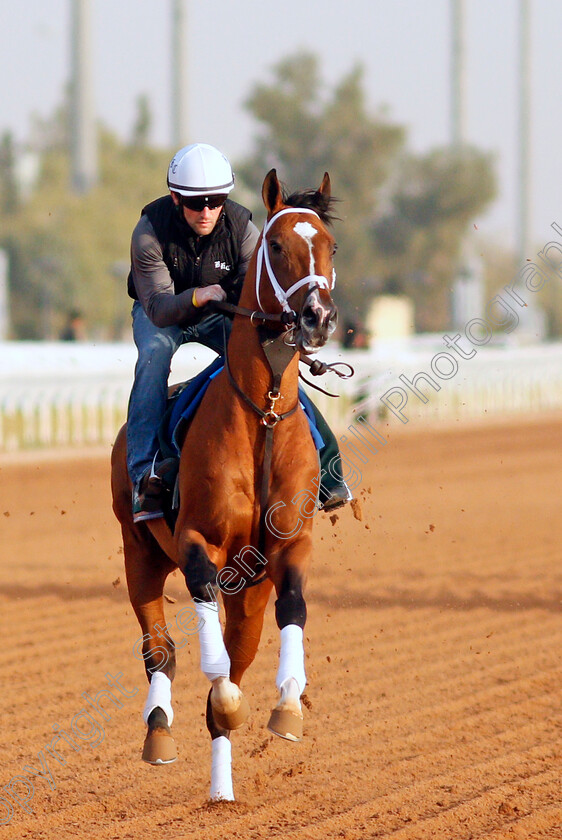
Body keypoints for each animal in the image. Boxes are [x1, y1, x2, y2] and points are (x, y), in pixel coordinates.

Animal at [109, 166, 336, 800]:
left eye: (331, 246)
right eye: (276, 246)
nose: (317, 316)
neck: (262, 419)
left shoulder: (292, 543)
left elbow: (294, 608)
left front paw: (288, 708)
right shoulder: (196, 541)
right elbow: (212, 654)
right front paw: (225, 695)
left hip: (248, 593)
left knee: (236, 656)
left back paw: (222, 791)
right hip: (139, 554)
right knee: (160, 650)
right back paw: (161, 733)